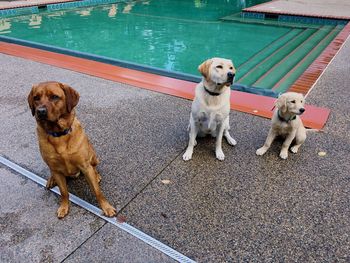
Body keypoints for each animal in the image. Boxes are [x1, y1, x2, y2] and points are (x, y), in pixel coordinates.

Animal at [27, 82, 116, 219]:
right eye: (36, 98)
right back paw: (51, 180)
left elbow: (97, 191)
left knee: (94, 167)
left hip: (93, 156)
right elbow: (64, 192)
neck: (59, 135)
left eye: (54, 97)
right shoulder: (56, 170)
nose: (40, 111)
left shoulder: (85, 166)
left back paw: (97, 175)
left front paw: (106, 207)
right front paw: (64, 207)